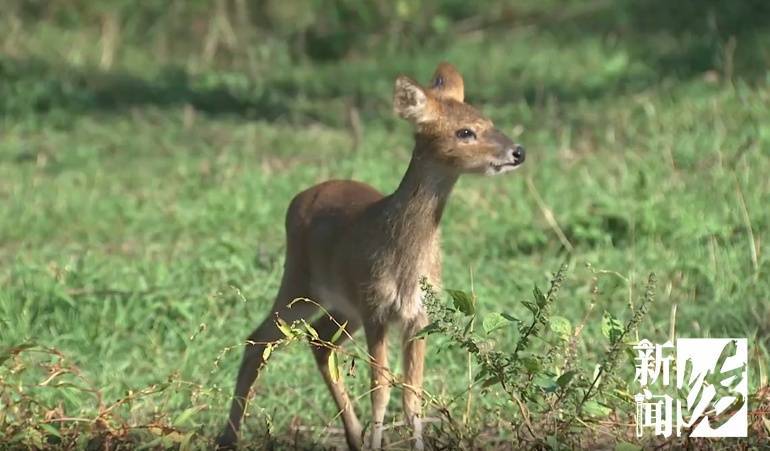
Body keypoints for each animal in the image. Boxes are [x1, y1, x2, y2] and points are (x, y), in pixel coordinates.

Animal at [219, 61, 524, 450]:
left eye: (488, 119)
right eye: (465, 131)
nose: (518, 151)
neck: (405, 258)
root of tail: (300, 197)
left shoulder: (417, 316)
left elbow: (411, 396)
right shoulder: (377, 309)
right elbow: (380, 391)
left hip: (344, 306)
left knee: (318, 342)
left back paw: (352, 436)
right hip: (300, 283)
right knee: (258, 340)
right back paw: (229, 436)